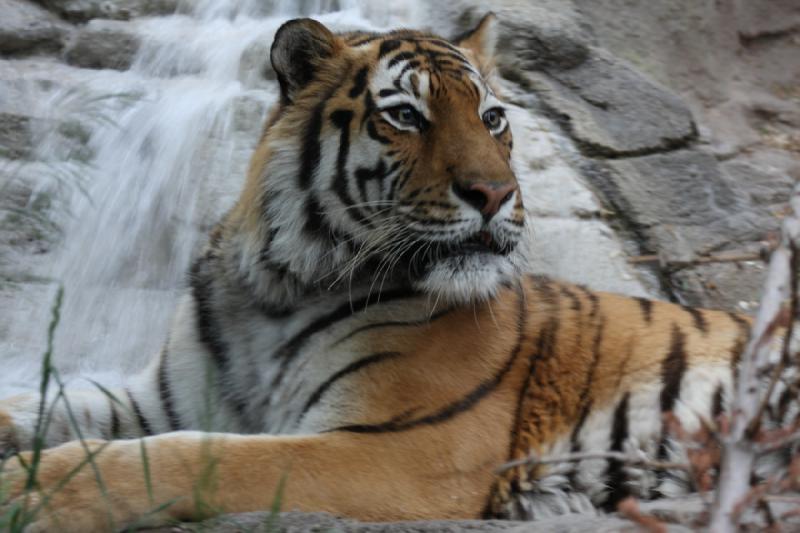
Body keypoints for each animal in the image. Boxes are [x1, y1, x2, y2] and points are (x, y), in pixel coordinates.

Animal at [0, 13, 788, 532]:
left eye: (493, 118)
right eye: (407, 115)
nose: (497, 194)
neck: (275, 290)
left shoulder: (397, 447)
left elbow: (191, 458)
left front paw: (31, 493)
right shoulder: (159, 400)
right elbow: (48, 408)